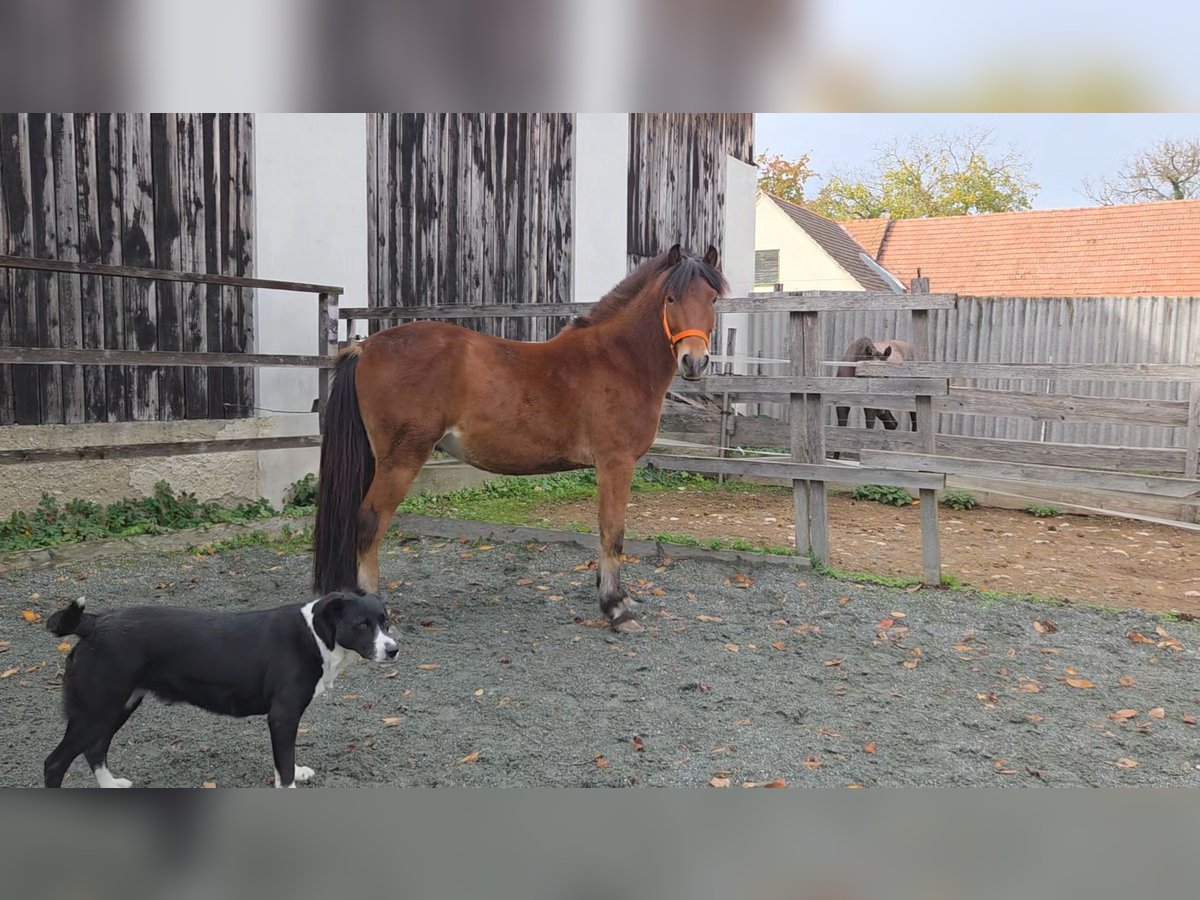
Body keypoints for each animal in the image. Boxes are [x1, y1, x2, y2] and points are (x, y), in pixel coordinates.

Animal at [313, 244, 726, 632]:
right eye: (670, 298)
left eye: (712, 298)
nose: (695, 361)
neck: (618, 359)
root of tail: (366, 347)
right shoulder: (615, 463)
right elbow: (613, 532)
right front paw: (617, 608)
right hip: (402, 459)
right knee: (369, 523)